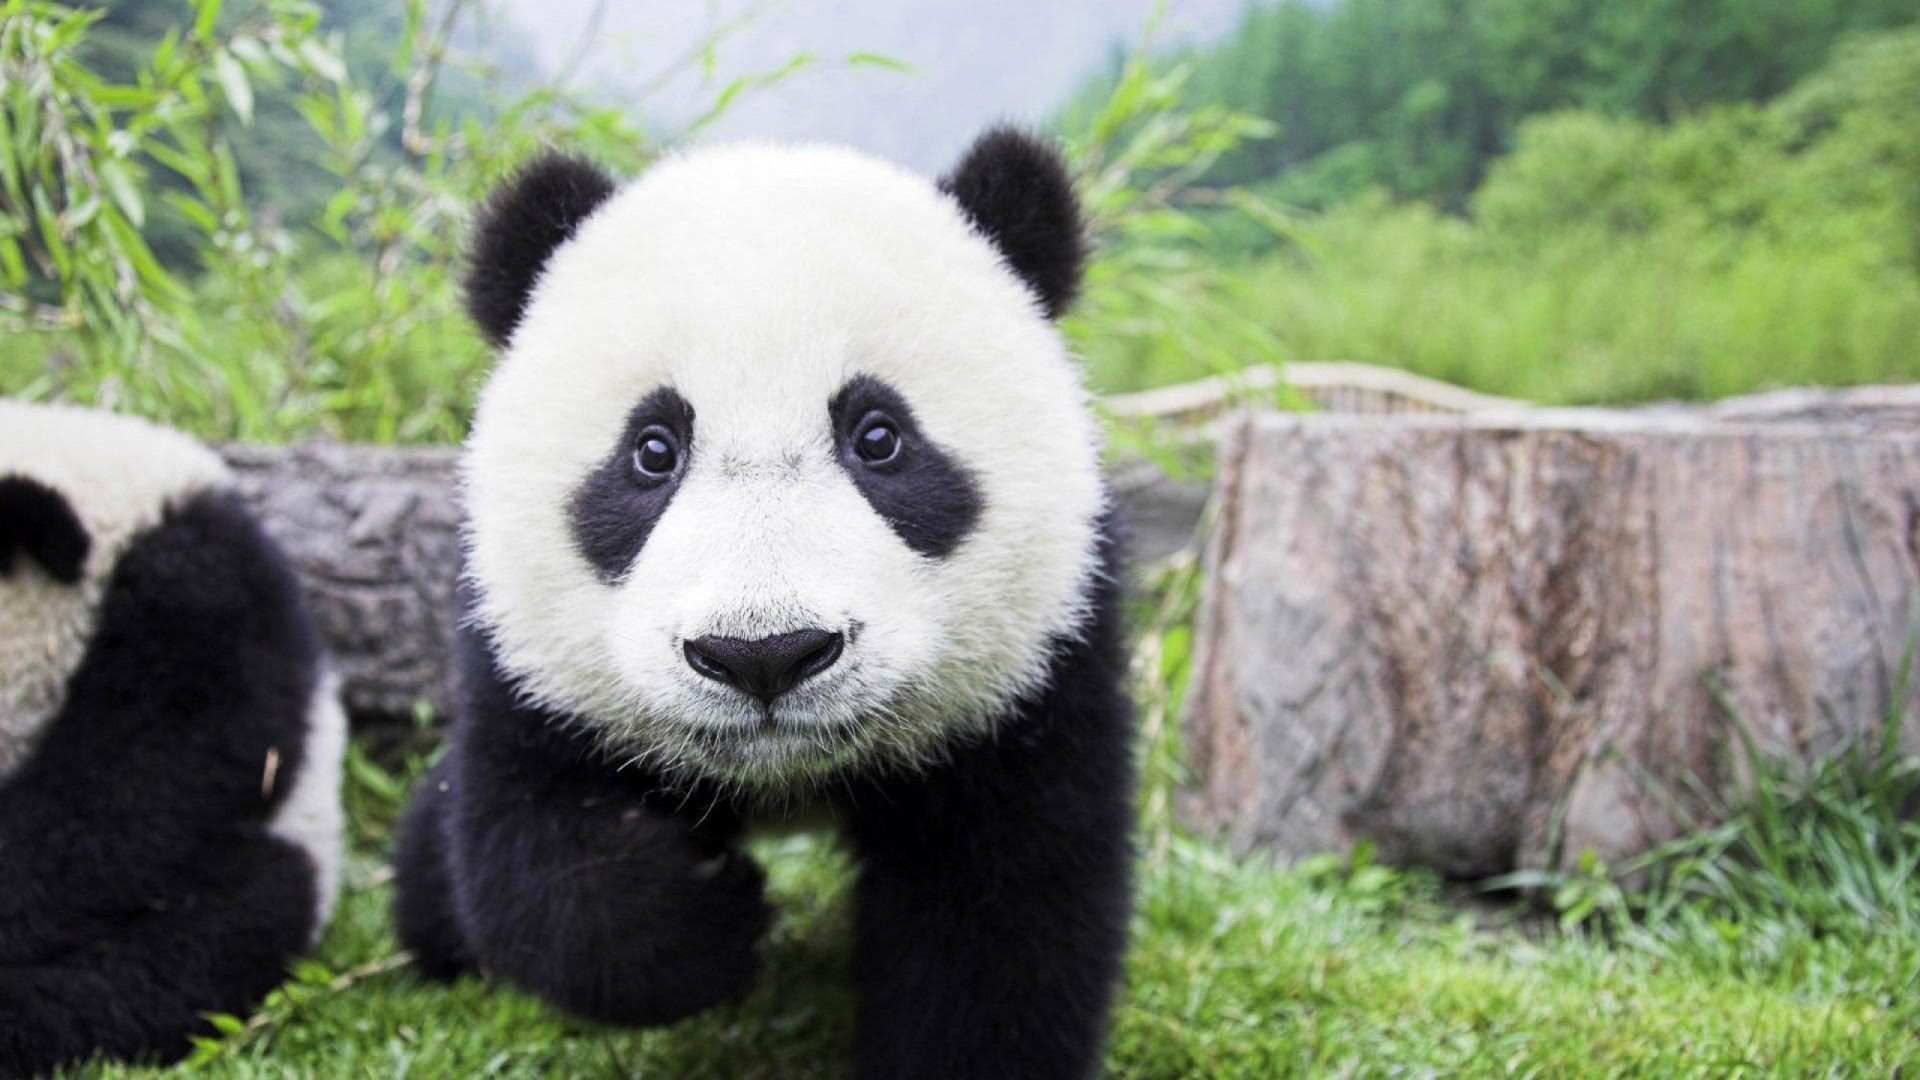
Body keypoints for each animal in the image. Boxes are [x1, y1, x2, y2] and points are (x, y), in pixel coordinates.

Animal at [392, 127, 1136, 1079]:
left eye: (879, 437)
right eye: (653, 449)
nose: (764, 654)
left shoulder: (1040, 663)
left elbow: (1003, 915)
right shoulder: (520, 658)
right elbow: (533, 852)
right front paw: (706, 911)